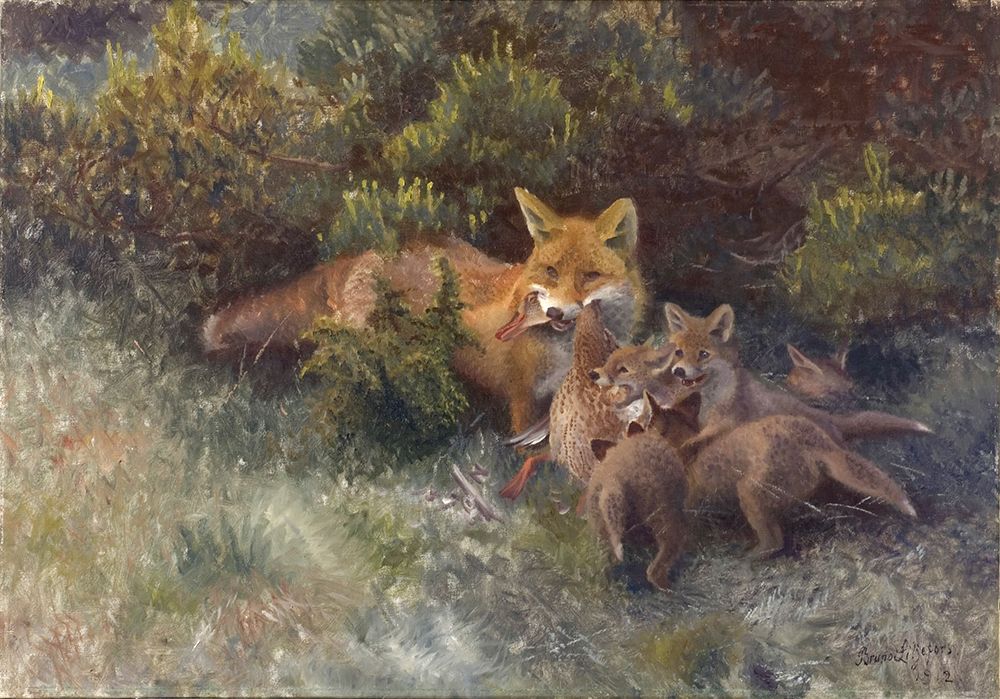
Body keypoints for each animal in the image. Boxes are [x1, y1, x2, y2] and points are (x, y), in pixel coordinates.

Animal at [202, 187, 646, 432]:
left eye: (589, 276)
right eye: (551, 272)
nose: (553, 314)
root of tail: (364, 252)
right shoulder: (523, 398)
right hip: (366, 354)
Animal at [662, 302, 932, 455]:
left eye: (703, 354)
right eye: (679, 352)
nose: (678, 372)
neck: (711, 399)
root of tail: (830, 419)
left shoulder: (729, 422)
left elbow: (697, 440)